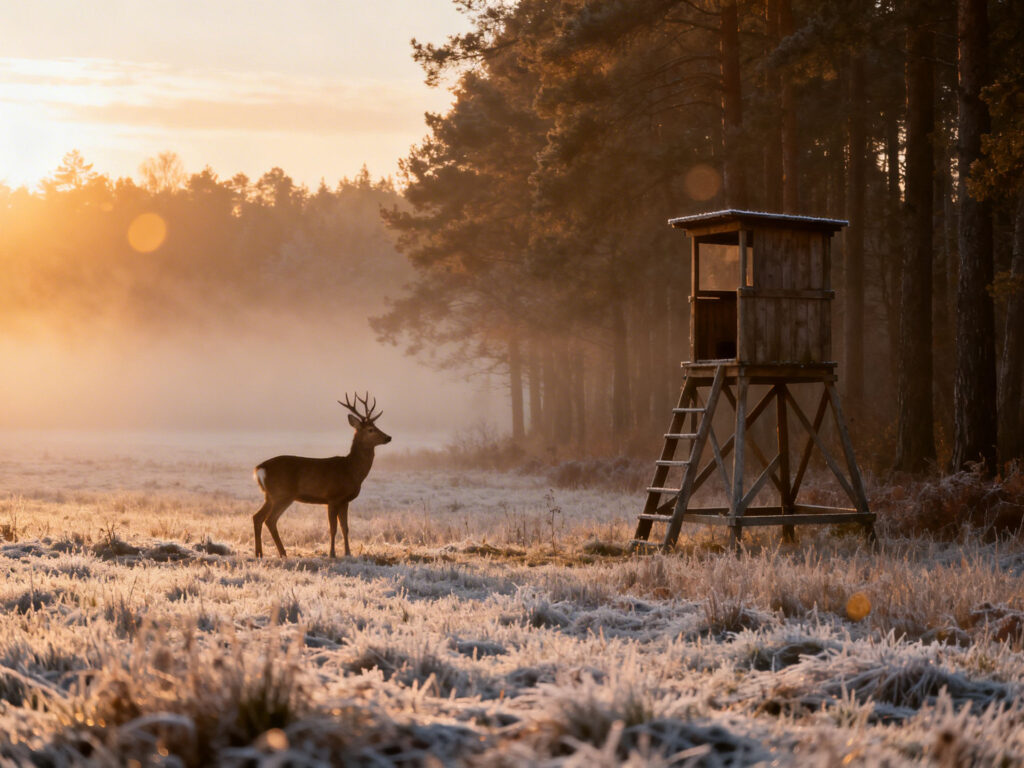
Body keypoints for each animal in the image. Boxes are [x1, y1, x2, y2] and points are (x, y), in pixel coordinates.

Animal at [253, 393, 391, 558]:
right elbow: (333, 528)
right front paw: (332, 554)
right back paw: (282, 553)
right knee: (270, 520)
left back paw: (259, 553)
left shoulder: (345, 501)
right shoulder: (332, 497)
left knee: (257, 517)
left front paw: (348, 553)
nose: (388, 437)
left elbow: (345, 528)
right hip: (282, 494)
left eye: (377, 426)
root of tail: (260, 468)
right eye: (371, 429)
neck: (351, 470)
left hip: (270, 495)